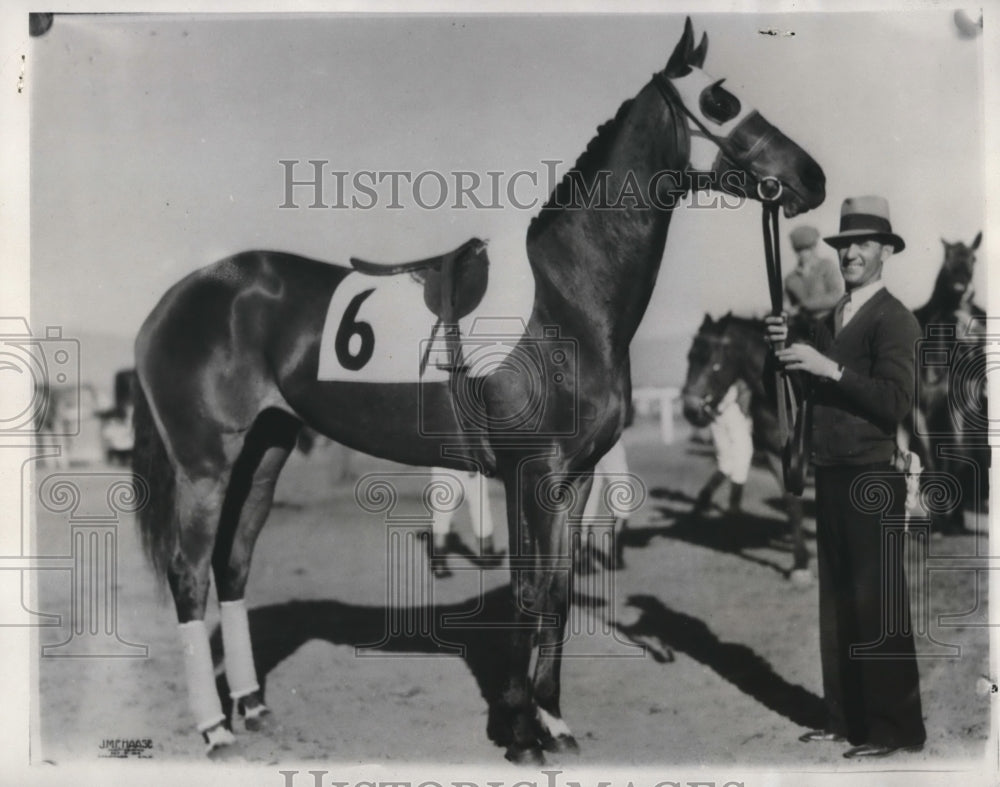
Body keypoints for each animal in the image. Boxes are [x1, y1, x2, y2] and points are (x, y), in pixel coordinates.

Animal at [680, 310, 812, 580]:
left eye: (714, 362)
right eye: (690, 357)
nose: (691, 410)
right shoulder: (776, 456)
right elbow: (792, 505)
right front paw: (800, 563)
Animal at [912, 231, 988, 532]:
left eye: (974, 258)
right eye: (947, 257)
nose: (961, 287)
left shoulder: (954, 411)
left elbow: (955, 457)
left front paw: (952, 519)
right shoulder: (918, 411)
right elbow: (930, 461)